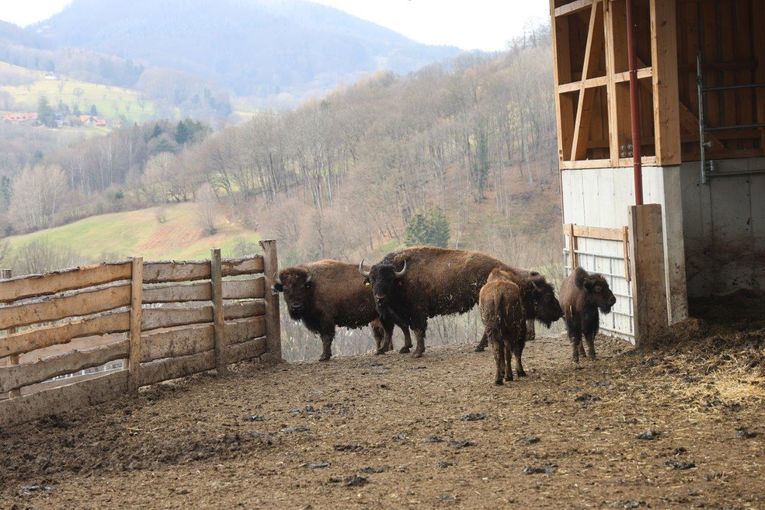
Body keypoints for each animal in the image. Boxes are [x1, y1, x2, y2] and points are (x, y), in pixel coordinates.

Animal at [274, 258, 412, 362]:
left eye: (303, 287)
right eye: (285, 289)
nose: (296, 307)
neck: (312, 286)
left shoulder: (326, 320)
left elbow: (326, 337)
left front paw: (324, 357)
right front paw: (325, 355)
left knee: (401, 325)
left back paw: (405, 347)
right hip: (382, 315)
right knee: (389, 330)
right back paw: (381, 350)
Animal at [358, 247, 560, 358]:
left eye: (389, 279)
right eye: (372, 279)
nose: (379, 298)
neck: (402, 276)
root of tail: (499, 265)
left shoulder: (417, 312)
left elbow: (418, 330)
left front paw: (417, 352)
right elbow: (410, 329)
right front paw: (408, 349)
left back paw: (479, 347)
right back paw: (479, 347)